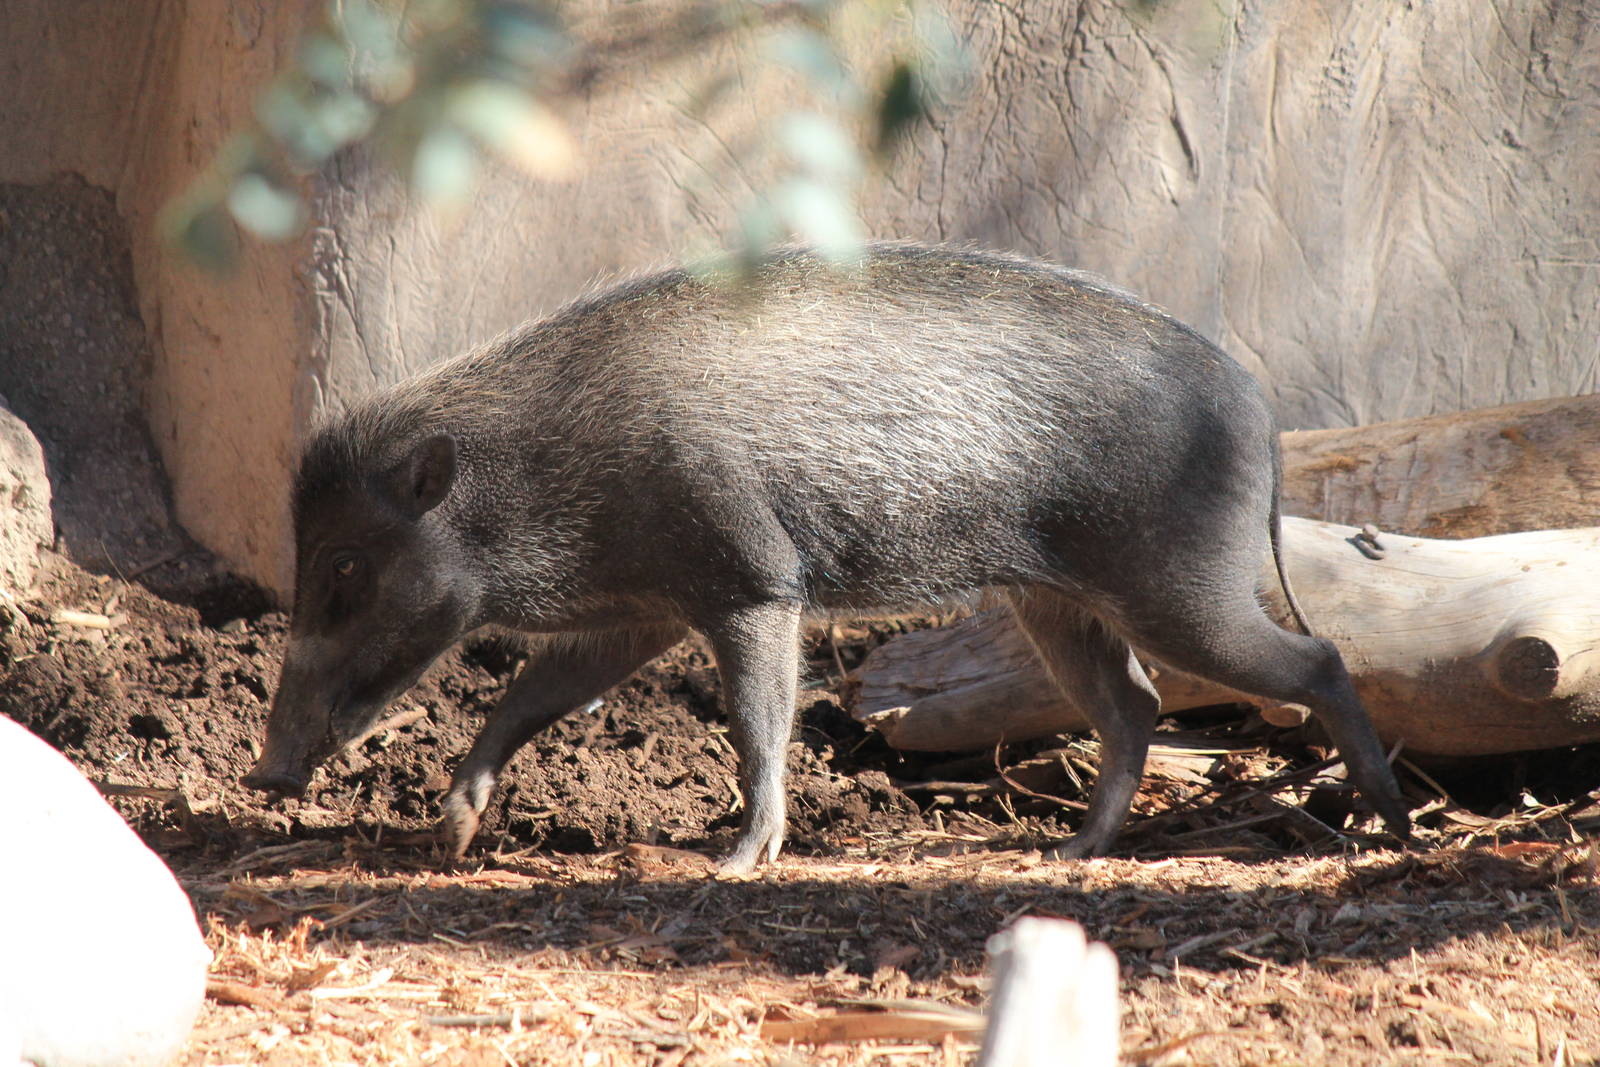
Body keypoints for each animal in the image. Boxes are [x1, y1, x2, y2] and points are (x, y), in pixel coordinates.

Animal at [244, 242, 1410, 872]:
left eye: (343, 567)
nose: (263, 773)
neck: (546, 468)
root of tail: (1260, 407)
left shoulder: (753, 579)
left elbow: (758, 719)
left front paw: (733, 861)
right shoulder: (648, 606)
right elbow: (531, 691)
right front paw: (452, 832)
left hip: (1179, 581)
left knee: (1313, 663)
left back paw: (1387, 826)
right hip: (1054, 599)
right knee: (1133, 705)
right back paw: (1071, 853)